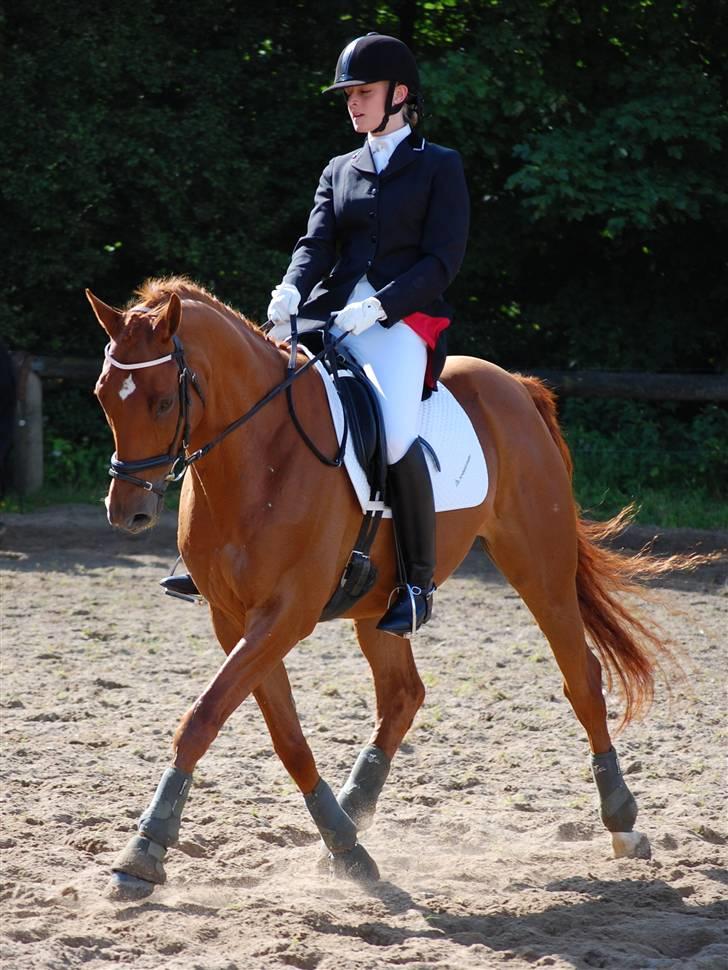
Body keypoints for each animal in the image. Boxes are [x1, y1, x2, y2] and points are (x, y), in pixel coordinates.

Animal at [88, 276, 680, 896]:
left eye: (162, 400)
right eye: (104, 396)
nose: (126, 513)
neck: (259, 457)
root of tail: (515, 384)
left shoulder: (285, 615)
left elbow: (202, 717)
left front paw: (143, 850)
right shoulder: (233, 620)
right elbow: (285, 736)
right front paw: (343, 845)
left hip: (539, 565)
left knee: (581, 677)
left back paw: (623, 822)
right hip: (379, 604)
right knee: (403, 693)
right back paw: (353, 810)